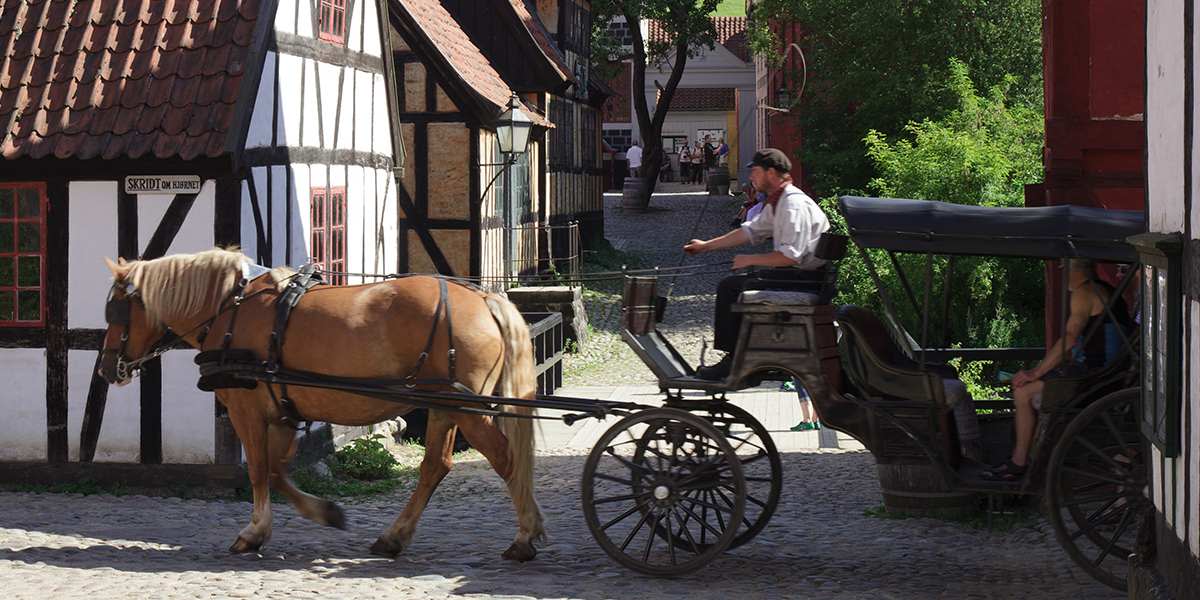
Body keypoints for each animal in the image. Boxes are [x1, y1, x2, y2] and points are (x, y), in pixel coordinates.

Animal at [98, 246, 544, 559]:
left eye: (116, 311)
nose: (106, 368)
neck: (231, 309)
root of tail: (483, 298)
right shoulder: (280, 413)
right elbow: (276, 472)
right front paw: (323, 512)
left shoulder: (246, 410)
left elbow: (258, 471)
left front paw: (253, 531)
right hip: (445, 406)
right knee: (435, 466)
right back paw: (393, 537)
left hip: (466, 411)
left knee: (505, 458)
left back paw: (524, 535)